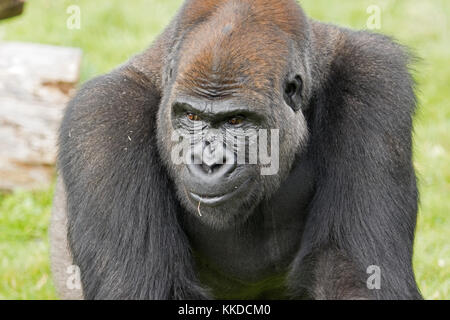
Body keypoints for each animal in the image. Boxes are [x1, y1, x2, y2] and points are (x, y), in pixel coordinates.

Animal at [50, 0, 422, 300]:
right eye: (191, 117)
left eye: (236, 121)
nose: (208, 163)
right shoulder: (101, 117)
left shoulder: (373, 78)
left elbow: (355, 271)